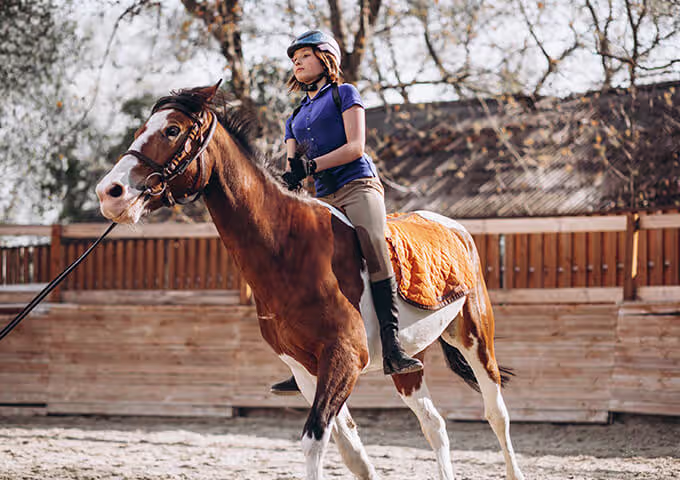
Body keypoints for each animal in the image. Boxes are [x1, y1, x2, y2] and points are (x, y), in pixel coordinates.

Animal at [95, 82, 525, 480]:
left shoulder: (343, 359)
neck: (287, 247)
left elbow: (315, 438)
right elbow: (349, 450)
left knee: (496, 413)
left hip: (476, 340)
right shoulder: (304, 369)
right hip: (409, 363)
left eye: (172, 130)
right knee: (433, 424)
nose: (109, 193)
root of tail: (451, 226)